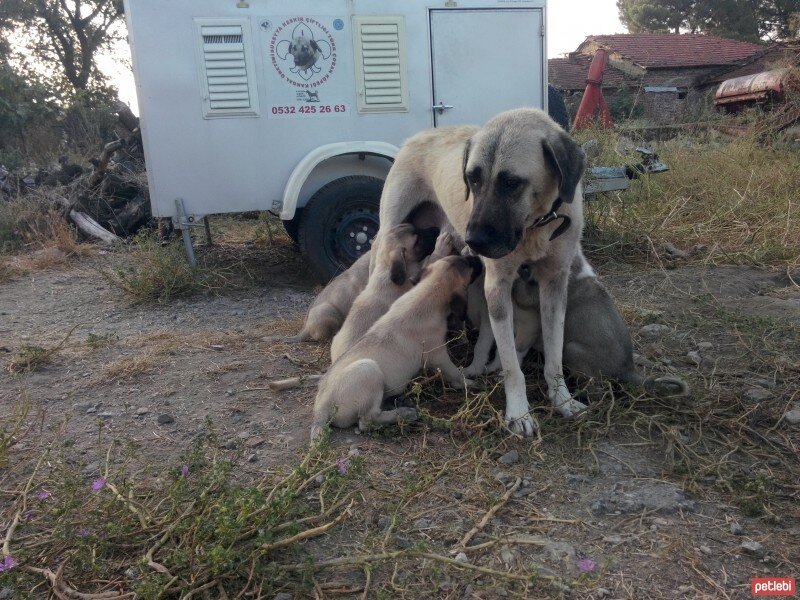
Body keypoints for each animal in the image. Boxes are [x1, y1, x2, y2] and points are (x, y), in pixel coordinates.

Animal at [378, 109, 584, 436]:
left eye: (511, 182)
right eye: (472, 178)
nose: (473, 240)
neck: (535, 226)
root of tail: (417, 136)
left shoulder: (554, 285)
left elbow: (554, 355)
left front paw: (562, 399)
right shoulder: (498, 286)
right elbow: (512, 366)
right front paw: (519, 412)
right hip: (387, 231)